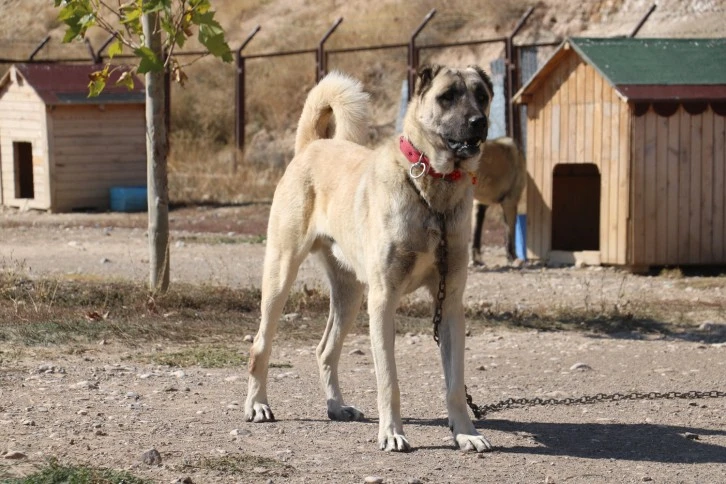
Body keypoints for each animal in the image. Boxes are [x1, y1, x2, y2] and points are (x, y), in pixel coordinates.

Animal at [246, 64, 494, 454]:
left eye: (481, 95)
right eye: (447, 96)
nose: (478, 121)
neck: (431, 188)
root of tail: (312, 145)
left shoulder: (450, 303)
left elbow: (454, 384)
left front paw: (465, 432)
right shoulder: (382, 301)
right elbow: (389, 380)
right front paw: (392, 433)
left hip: (350, 295)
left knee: (325, 350)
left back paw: (336, 406)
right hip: (280, 276)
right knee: (260, 346)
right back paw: (257, 404)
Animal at [472, 136, 528, 264]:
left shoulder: (479, 202)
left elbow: (476, 231)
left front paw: (477, 261)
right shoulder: (510, 200)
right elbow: (510, 229)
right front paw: (513, 258)